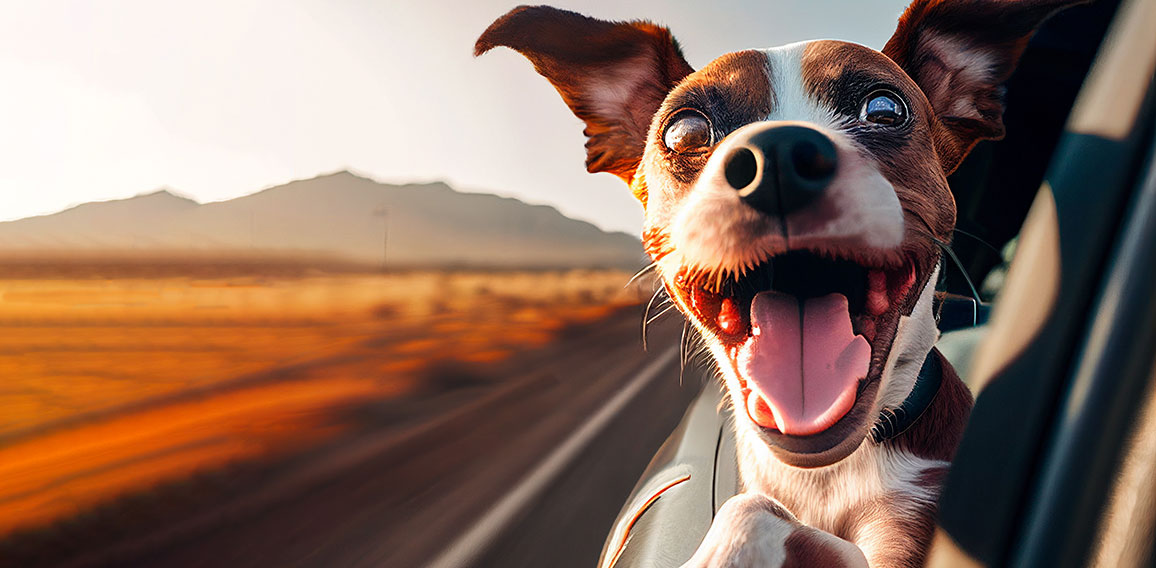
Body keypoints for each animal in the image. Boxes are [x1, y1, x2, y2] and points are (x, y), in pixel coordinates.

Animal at [476, 2, 1082, 566]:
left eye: (884, 109)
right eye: (684, 131)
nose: (780, 156)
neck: (827, 474)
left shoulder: (910, 529)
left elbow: (751, 511)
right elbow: (753, 503)